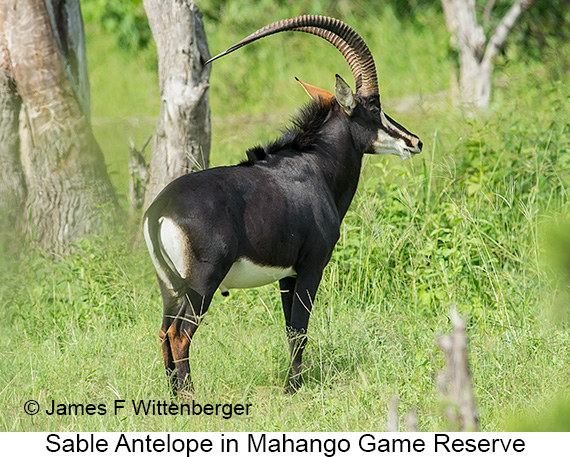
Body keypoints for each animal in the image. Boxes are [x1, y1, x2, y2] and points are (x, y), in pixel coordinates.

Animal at [143, 15, 422, 396]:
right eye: (375, 109)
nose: (415, 141)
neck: (316, 164)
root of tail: (159, 212)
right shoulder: (311, 266)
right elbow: (301, 329)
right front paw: (293, 387)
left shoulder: (286, 275)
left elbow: (290, 329)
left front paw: (294, 383)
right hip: (201, 284)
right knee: (179, 334)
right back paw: (189, 394)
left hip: (170, 287)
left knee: (162, 331)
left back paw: (173, 393)